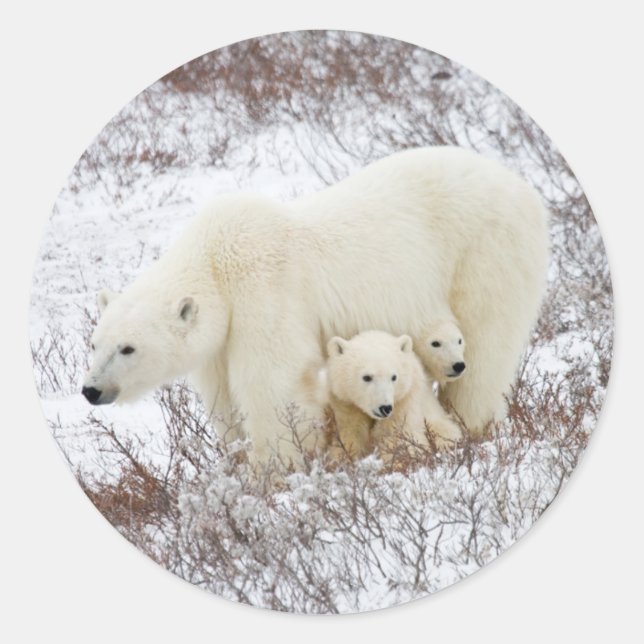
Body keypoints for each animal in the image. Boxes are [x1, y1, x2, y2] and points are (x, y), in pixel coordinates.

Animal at [320, 331, 462, 461]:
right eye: (367, 377)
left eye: (394, 377)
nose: (385, 408)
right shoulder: (346, 403)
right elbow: (350, 434)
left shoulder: (404, 401)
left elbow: (399, 437)